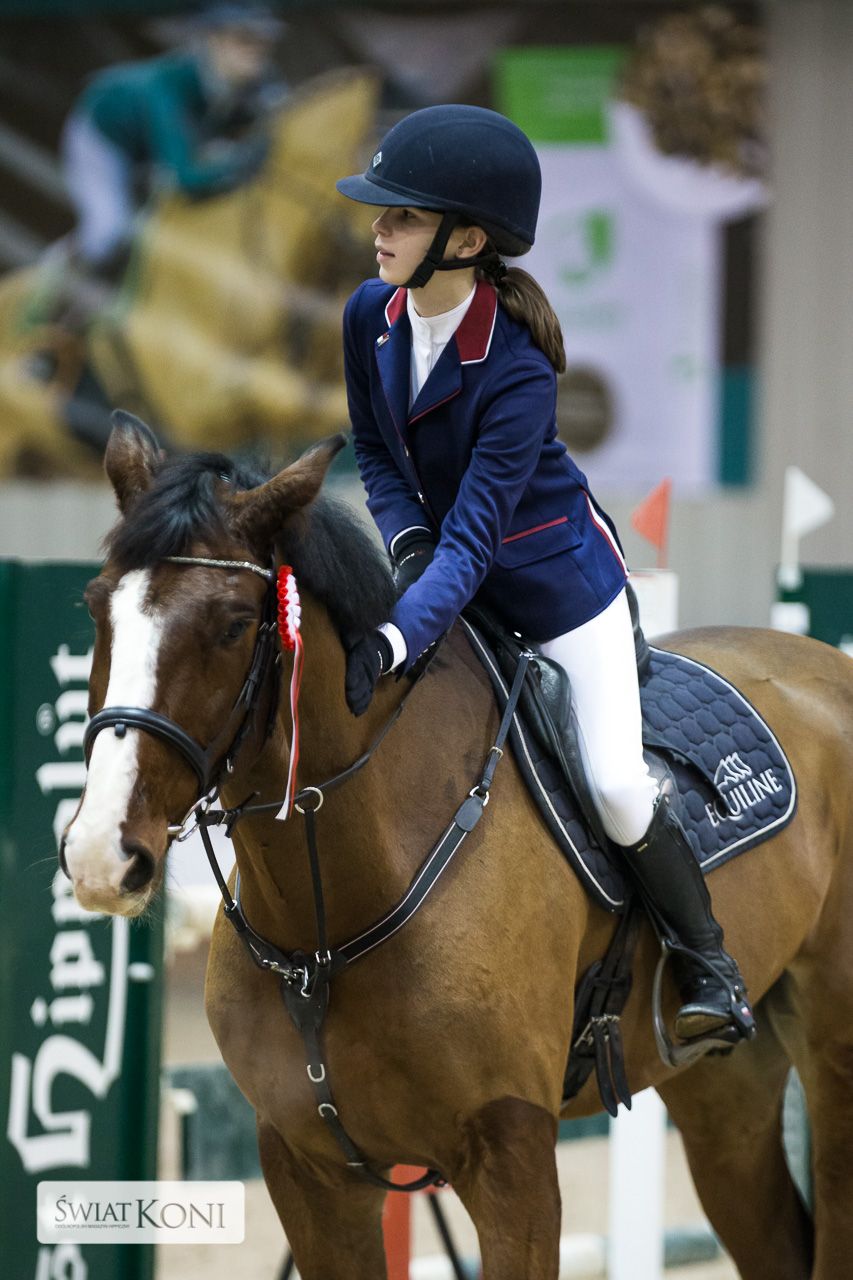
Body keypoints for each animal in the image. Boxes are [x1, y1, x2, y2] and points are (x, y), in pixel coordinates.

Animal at [60, 415, 853, 1280]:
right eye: (96, 609)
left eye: (234, 626)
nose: (101, 855)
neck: (331, 923)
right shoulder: (309, 1171)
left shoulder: (513, 1162)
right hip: (722, 1087)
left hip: (832, 1052)